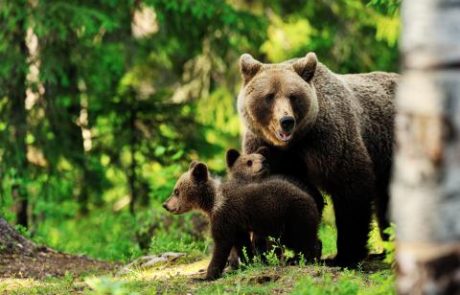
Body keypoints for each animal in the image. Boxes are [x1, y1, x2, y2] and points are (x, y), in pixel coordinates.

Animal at [237, 52, 398, 268]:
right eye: (269, 96)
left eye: (293, 96)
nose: (286, 121)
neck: (293, 143)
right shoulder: (264, 149)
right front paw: (267, 252)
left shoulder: (328, 140)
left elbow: (350, 188)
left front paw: (344, 256)